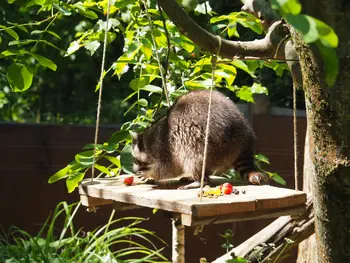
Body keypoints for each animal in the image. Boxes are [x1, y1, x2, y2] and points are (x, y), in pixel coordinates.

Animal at [131, 91, 268, 190]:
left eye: (136, 160)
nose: (133, 171)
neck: (147, 142)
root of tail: (245, 137)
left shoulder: (164, 146)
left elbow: (168, 169)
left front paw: (150, 173)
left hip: (212, 142)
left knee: (194, 156)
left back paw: (199, 180)